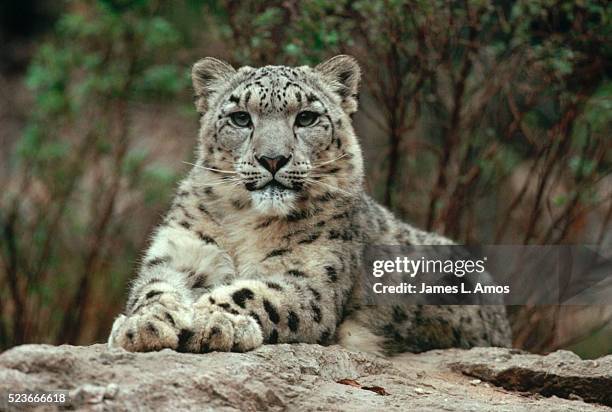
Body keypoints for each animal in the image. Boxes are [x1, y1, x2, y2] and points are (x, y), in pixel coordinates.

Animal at [107, 56, 510, 356]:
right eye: (240, 117)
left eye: (306, 117)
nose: (273, 158)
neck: (246, 222)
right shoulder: (183, 252)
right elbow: (154, 287)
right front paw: (145, 324)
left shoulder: (310, 278)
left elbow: (256, 293)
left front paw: (214, 321)